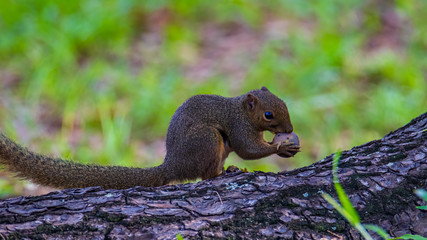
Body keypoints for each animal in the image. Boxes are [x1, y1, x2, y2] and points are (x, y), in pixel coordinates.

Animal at [0, 86, 300, 189]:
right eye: (269, 114)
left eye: (286, 103)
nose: (289, 127)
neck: (239, 110)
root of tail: (172, 165)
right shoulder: (238, 126)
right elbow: (248, 149)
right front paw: (281, 148)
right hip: (207, 138)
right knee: (205, 175)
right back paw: (223, 173)